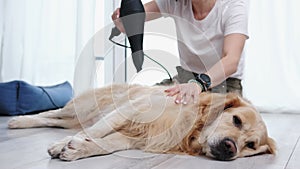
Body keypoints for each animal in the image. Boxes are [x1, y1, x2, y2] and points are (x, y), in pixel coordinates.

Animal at [7, 84, 276, 161]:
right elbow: (98, 130)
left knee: (54, 120)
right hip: (80, 109)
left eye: (251, 145)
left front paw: (79, 148)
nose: (231, 147)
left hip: (72, 118)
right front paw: (61, 145)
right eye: (236, 120)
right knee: (49, 114)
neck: (191, 128)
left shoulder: (136, 136)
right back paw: (18, 120)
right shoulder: (130, 111)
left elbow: (106, 143)